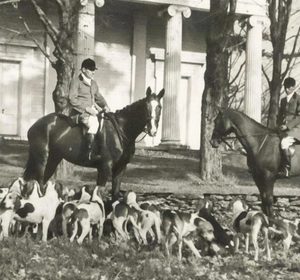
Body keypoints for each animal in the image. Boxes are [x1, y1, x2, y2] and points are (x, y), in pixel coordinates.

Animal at [22, 87, 164, 201]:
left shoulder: (120, 168)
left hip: (53, 159)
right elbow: (99, 194)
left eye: (159, 107)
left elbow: (115, 195)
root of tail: (35, 124)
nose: (152, 130)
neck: (121, 129)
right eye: (146, 106)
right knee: (38, 182)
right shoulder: (105, 167)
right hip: (41, 159)